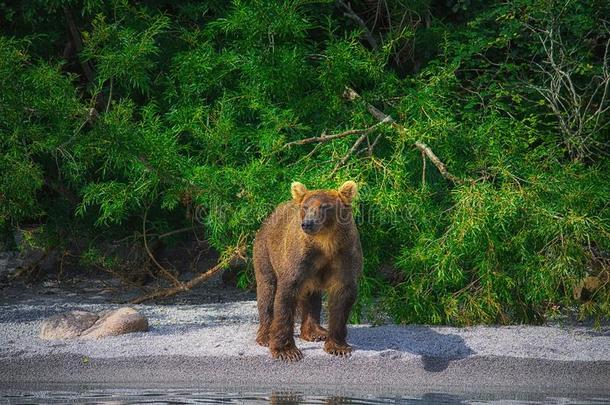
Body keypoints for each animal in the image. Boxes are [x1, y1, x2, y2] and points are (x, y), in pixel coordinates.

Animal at [252, 180, 360, 360]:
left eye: (325, 207)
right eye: (305, 207)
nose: (308, 223)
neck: (325, 243)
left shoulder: (344, 256)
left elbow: (342, 299)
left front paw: (338, 347)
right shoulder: (299, 260)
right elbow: (285, 297)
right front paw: (286, 351)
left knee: (311, 296)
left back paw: (316, 332)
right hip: (265, 252)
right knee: (267, 289)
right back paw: (266, 336)